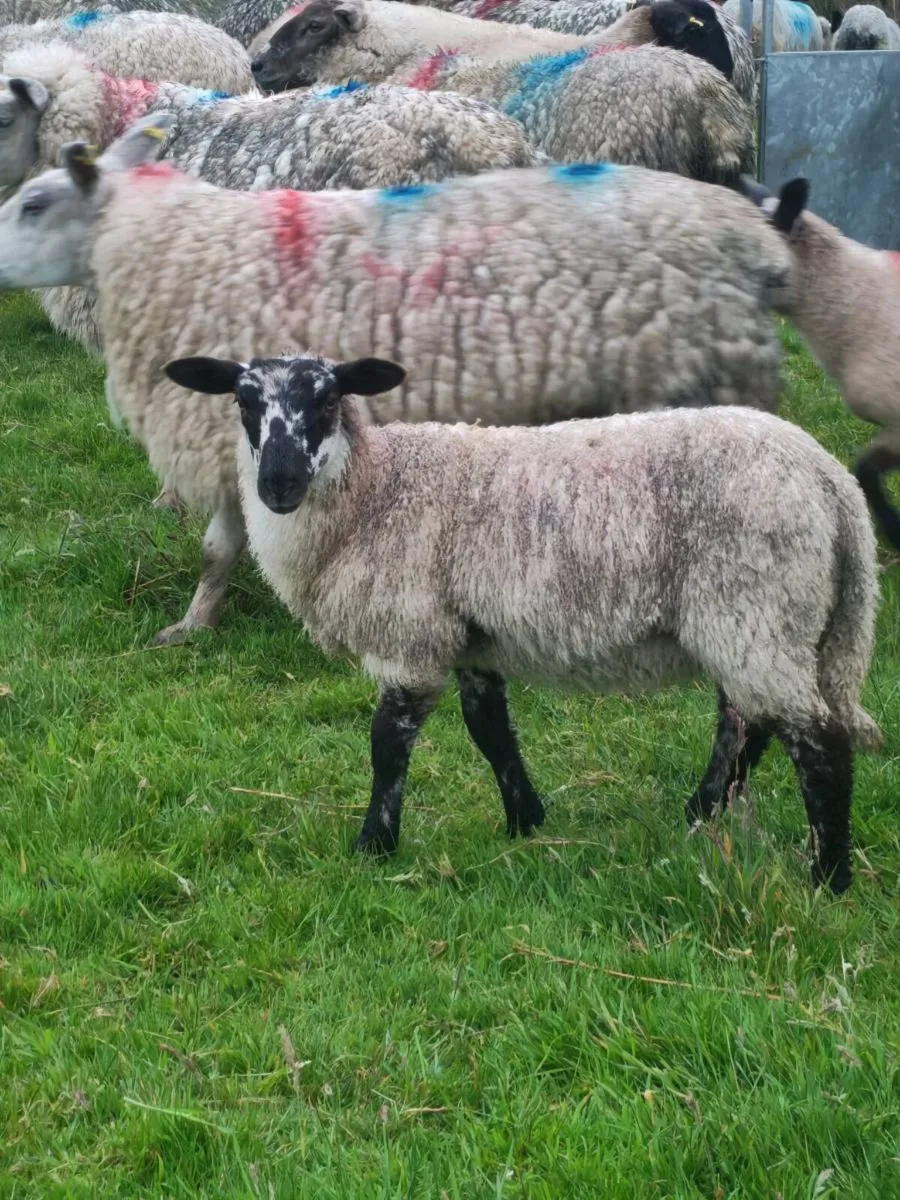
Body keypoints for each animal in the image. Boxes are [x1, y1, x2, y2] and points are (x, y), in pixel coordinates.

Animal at [0, 118, 794, 643]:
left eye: (34, 205)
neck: (174, 250)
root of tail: (753, 237)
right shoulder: (239, 439)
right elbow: (217, 551)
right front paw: (192, 626)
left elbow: (223, 545)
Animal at [164, 350, 881, 893]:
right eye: (243, 402)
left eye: (328, 400)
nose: (277, 485)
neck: (379, 487)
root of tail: (833, 486)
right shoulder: (472, 639)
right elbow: (491, 733)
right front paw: (524, 821)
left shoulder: (412, 634)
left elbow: (387, 747)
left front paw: (374, 845)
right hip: (757, 622)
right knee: (747, 723)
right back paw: (702, 813)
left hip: (755, 608)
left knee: (817, 743)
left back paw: (828, 878)